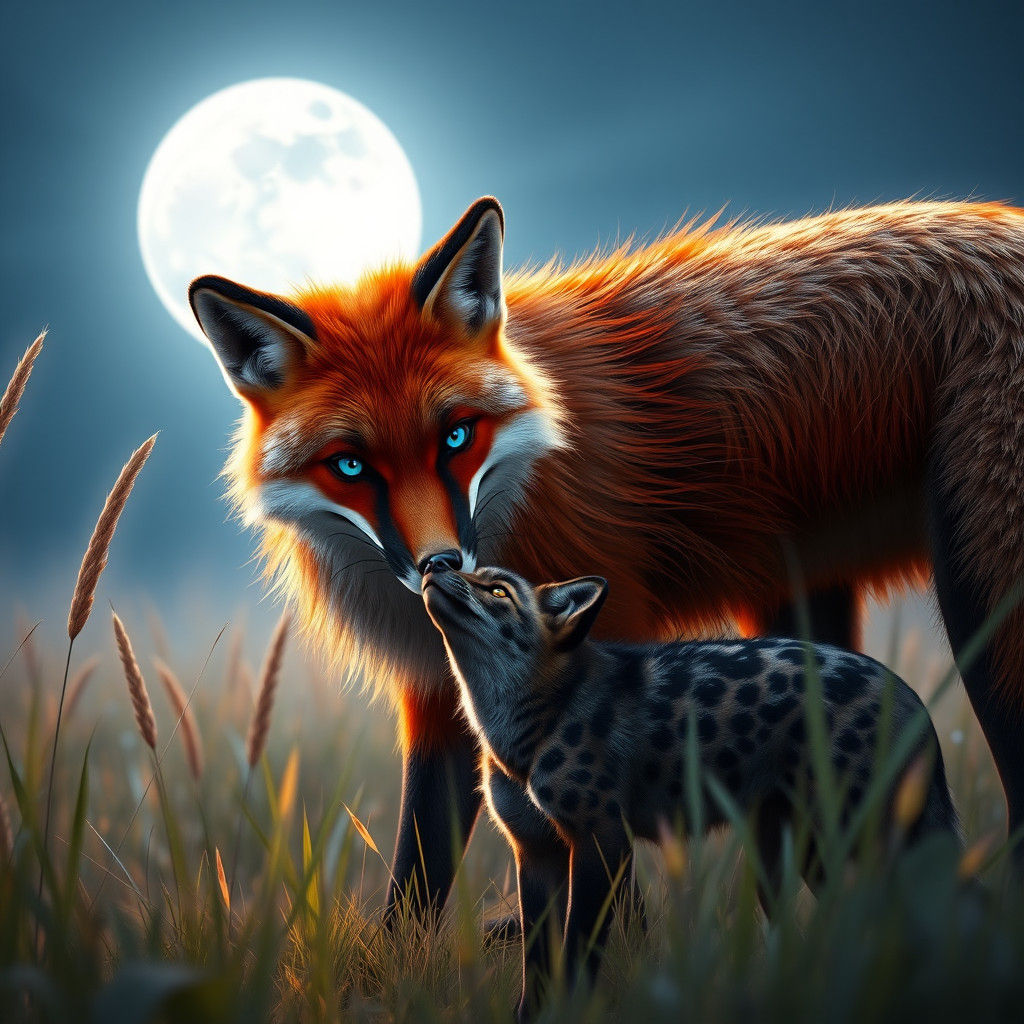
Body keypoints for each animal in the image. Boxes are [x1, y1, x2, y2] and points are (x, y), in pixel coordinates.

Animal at [188, 195, 1024, 925]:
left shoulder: (605, 677)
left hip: (979, 609)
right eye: (351, 466)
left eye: (456, 436)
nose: (439, 566)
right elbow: (414, 891)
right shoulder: (439, 701)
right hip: (804, 637)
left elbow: (613, 920)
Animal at [420, 561, 959, 1012]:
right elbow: (536, 965)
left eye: (496, 589)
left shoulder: (601, 839)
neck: (523, 737)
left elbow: (578, 952)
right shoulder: (534, 849)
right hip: (789, 855)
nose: (434, 563)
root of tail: (910, 695)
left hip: (854, 839)